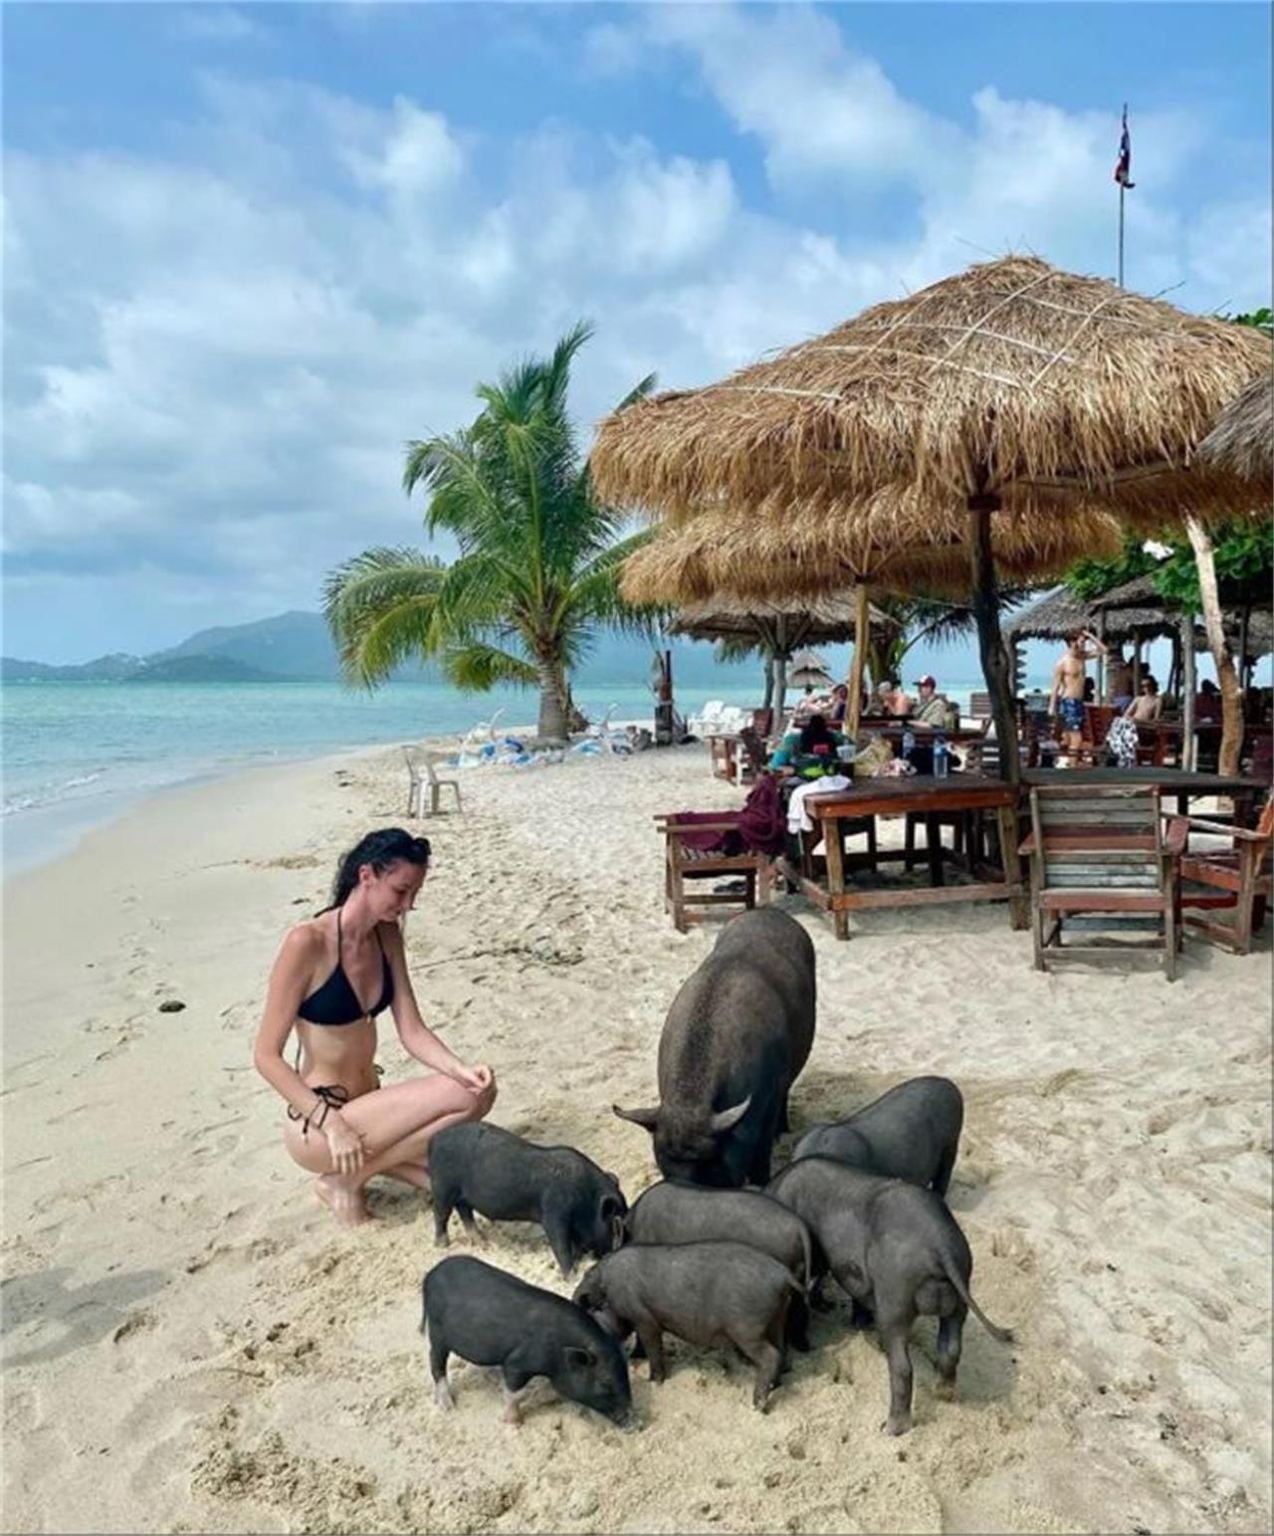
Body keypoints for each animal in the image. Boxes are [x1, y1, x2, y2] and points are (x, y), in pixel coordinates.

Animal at [422, 1255, 633, 1427]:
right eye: (605, 1383)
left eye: (626, 1373)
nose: (632, 1420)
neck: (557, 1349)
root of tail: (430, 1273)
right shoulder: (516, 1362)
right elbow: (515, 1393)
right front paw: (514, 1424)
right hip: (437, 1332)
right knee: (435, 1362)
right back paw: (448, 1407)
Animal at [429, 1122, 627, 1276]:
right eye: (615, 1222)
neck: (586, 1198)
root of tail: (434, 1139)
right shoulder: (554, 1214)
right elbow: (561, 1245)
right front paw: (570, 1276)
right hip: (442, 1188)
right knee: (440, 1214)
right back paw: (442, 1245)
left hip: (462, 1197)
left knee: (464, 1213)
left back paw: (483, 1243)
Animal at [573, 1241, 802, 1411]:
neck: (605, 1287)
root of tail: (783, 1275)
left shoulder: (644, 1319)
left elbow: (653, 1347)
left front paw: (653, 1382)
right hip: (777, 1319)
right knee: (781, 1351)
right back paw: (775, 1385)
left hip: (747, 1329)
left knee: (770, 1355)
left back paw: (756, 1405)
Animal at [613, 908, 816, 1188]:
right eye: (665, 1166)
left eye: (710, 1166)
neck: (691, 1104)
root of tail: (771, 912)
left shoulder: (769, 1097)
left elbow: (762, 1155)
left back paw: (783, 1131)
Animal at [766, 1156, 1012, 1436]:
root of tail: (940, 1245)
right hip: (961, 1288)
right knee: (951, 1346)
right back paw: (944, 1395)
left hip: (895, 1295)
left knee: (902, 1365)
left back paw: (889, 1428)